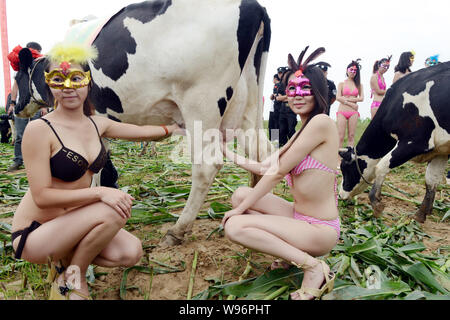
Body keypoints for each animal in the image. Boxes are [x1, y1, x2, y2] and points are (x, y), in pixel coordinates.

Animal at [342, 61, 450, 224]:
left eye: (344, 169)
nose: (340, 195)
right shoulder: (441, 151)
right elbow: (431, 180)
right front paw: (421, 214)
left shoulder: (415, 141)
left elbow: (381, 166)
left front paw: (376, 204)